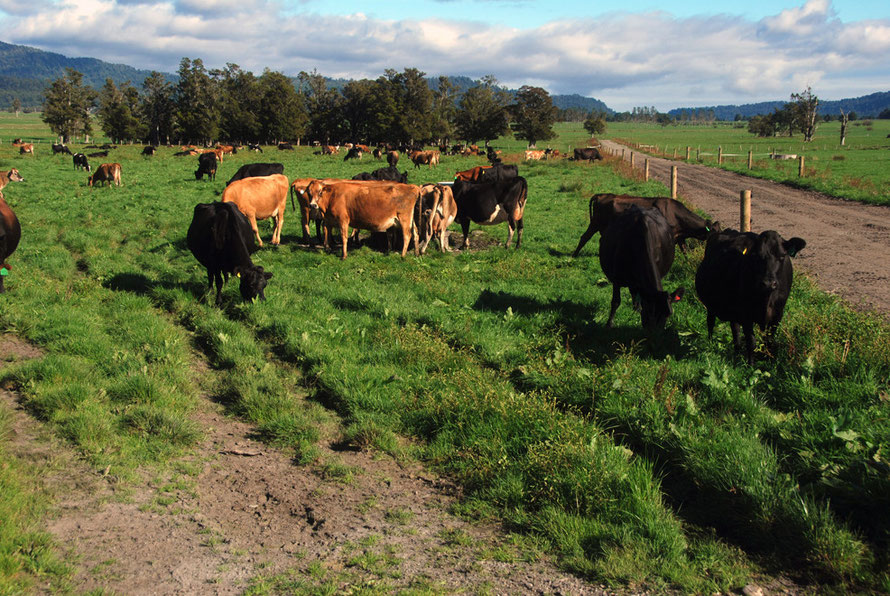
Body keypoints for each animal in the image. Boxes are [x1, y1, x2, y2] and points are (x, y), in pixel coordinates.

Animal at [572, 194, 720, 258]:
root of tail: (601, 195)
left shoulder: (680, 237)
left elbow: (685, 252)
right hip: (596, 223)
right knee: (584, 237)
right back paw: (574, 255)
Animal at [692, 230, 804, 366]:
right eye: (755, 256)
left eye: (782, 256)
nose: (768, 283)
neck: (765, 299)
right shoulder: (746, 314)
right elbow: (751, 341)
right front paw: (751, 365)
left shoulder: (777, 314)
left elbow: (769, 340)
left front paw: (768, 360)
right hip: (711, 305)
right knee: (710, 322)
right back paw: (710, 343)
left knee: (735, 328)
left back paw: (737, 350)